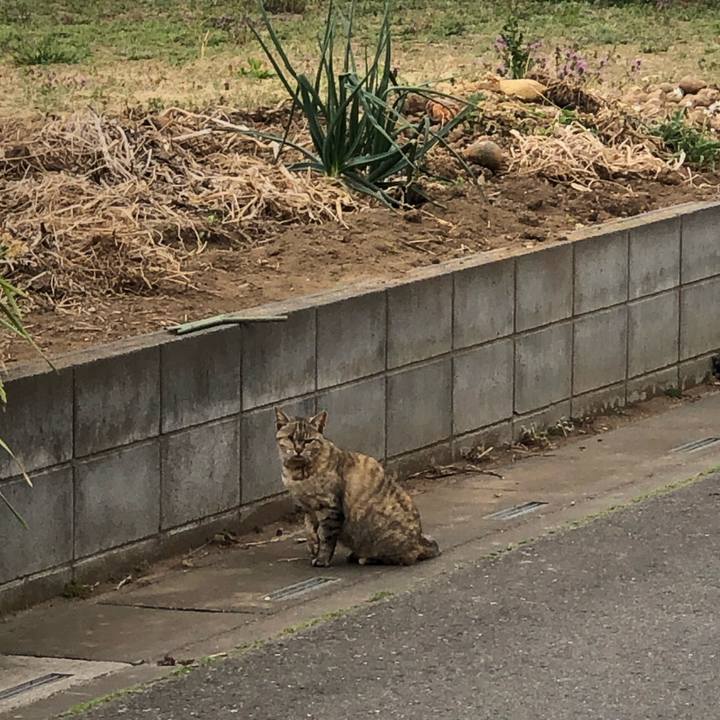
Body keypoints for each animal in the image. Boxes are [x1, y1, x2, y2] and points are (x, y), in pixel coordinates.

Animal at [274, 408, 440, 567]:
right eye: (290, 438)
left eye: (308, 441)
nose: (298, 449)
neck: (298, 472)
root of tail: (419, 541)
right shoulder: (307, 508)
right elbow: (309, 530)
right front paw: (313, 547)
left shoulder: (330, 508)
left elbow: (326, 537)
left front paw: (322, 559)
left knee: (405, 557)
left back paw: (365, 558)